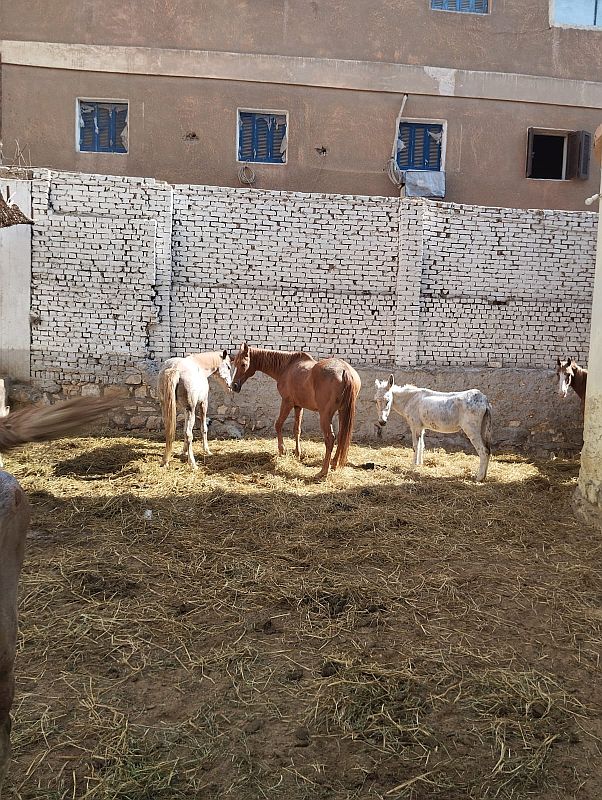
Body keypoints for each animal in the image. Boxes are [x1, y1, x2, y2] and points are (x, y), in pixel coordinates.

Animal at [232, 342, 358, 478]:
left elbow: (278, 424)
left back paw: (323, 471)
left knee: (330, 439)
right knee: (341, 436)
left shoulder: (287, 402)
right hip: (342, 411)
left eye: (243, 364)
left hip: (325, 415)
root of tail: (345, 371)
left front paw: (282, 450)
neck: (286, 367)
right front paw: (297, 453)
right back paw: (334, 464)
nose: (234, 386)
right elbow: (296, 429)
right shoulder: (298, 406)